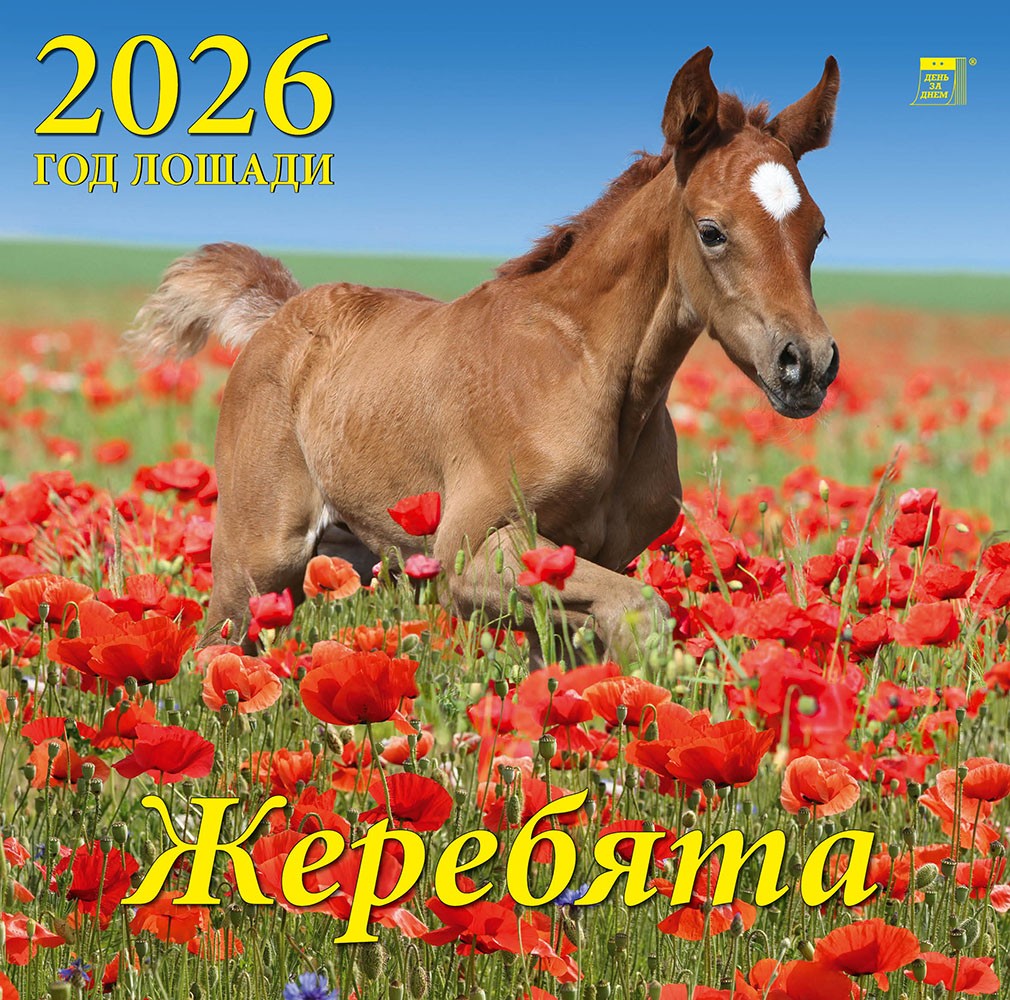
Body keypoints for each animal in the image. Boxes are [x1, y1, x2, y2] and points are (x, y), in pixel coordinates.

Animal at [126, 47, 840, 657]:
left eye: (819, 230)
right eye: (712, 231)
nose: (805, 364)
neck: (587, 373)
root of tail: (279, 315)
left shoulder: (584, 561)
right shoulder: (469, 553)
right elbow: (642, 611)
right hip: (256, 565)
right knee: (209, 660)